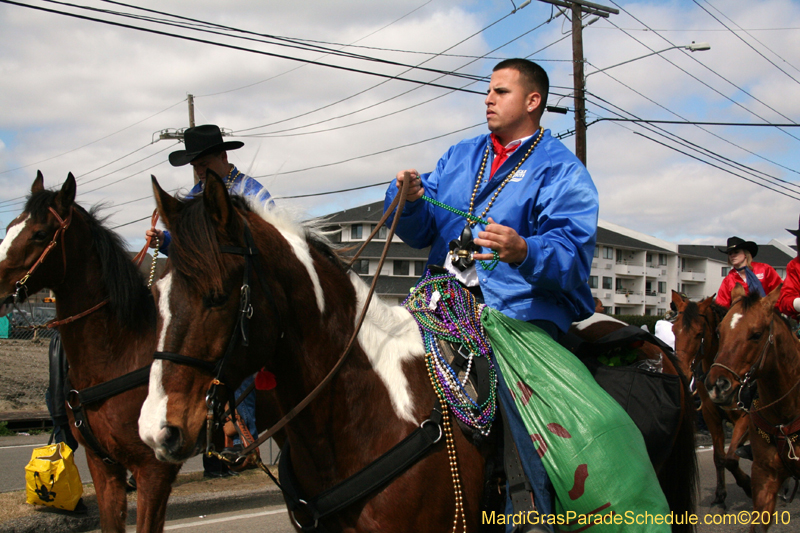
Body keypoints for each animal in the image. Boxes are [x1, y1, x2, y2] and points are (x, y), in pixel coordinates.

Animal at [672, 290, 752, 512]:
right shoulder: (710, 413)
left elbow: (732, 458)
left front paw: (748, 484)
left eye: (699, 333)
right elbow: (720, 457)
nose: (682, 371)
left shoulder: (746, 416)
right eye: (674, 330)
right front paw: (720, 497)